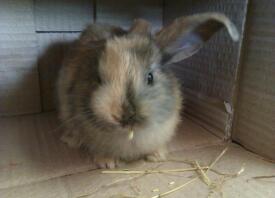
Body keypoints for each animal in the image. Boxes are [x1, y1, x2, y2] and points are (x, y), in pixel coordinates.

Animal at [56, 12, 239, 168]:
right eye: (98, 78)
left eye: (150, 77)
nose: (123, 116)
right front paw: (107, 163)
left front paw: (157, 156)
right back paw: (69, 140)